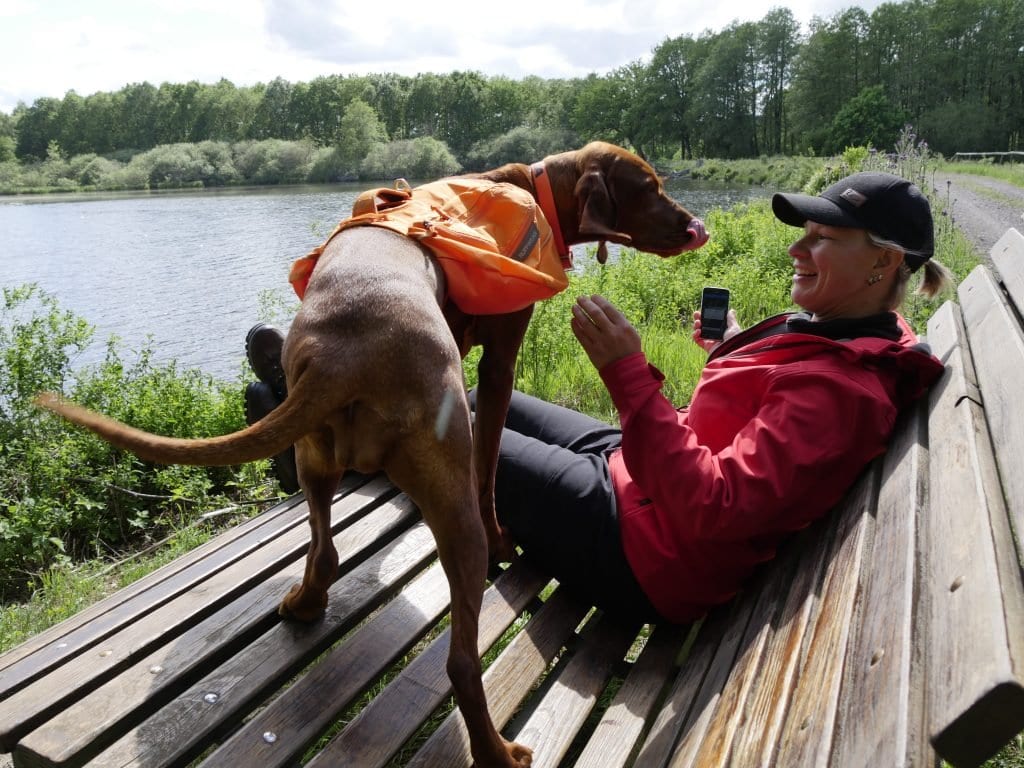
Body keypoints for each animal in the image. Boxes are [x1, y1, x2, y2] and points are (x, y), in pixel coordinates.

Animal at [36, 143, 700, 765]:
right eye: (649, 186)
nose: (696, 226)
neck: (531, 187)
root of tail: (343, 356)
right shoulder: (499, 367)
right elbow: (490, 470)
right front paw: (504, 539)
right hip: (452, 499)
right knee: (461, 660)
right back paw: (497, 752)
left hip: (315, 458)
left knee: (325, 550)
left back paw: (305, 605)